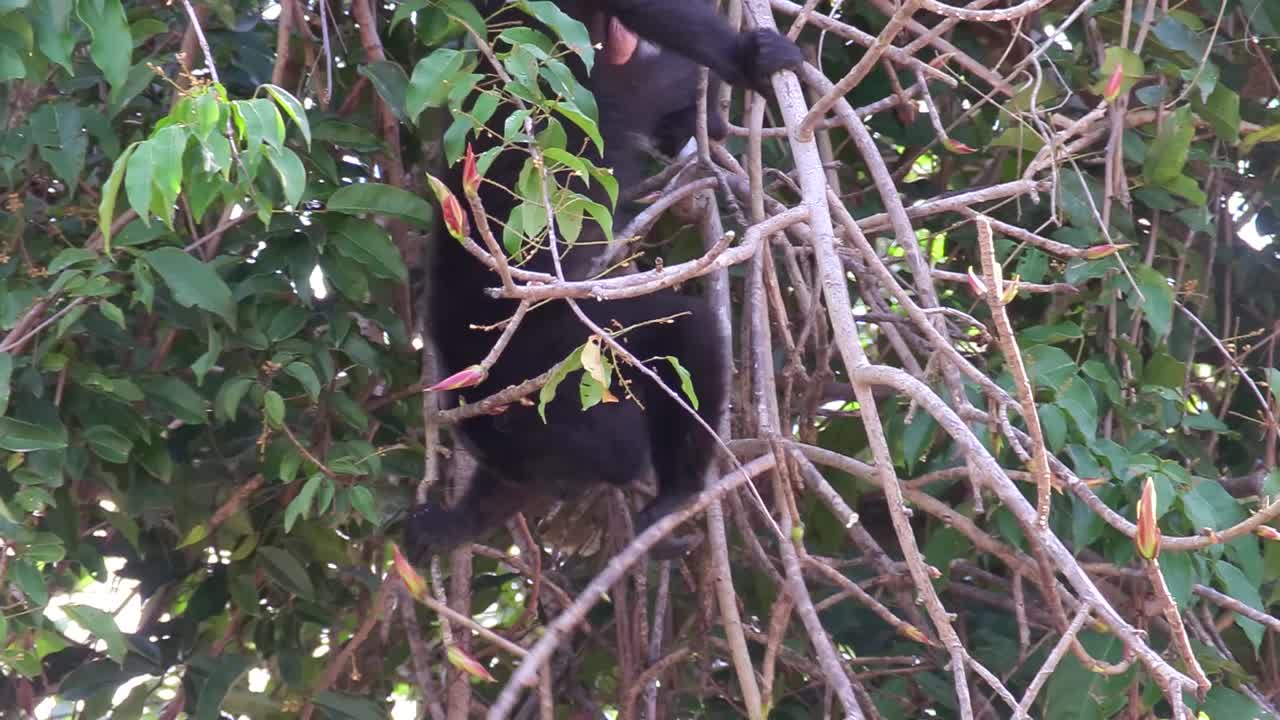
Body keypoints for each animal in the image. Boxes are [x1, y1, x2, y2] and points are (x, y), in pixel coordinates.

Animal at [403, 0, 803, 558]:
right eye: (540, 478)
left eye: (561, 465)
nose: (565, 493)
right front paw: (447, 525)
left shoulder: (555, 341)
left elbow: (687, 323)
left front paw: (677, 493)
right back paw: (702, 123)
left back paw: (745, 64)